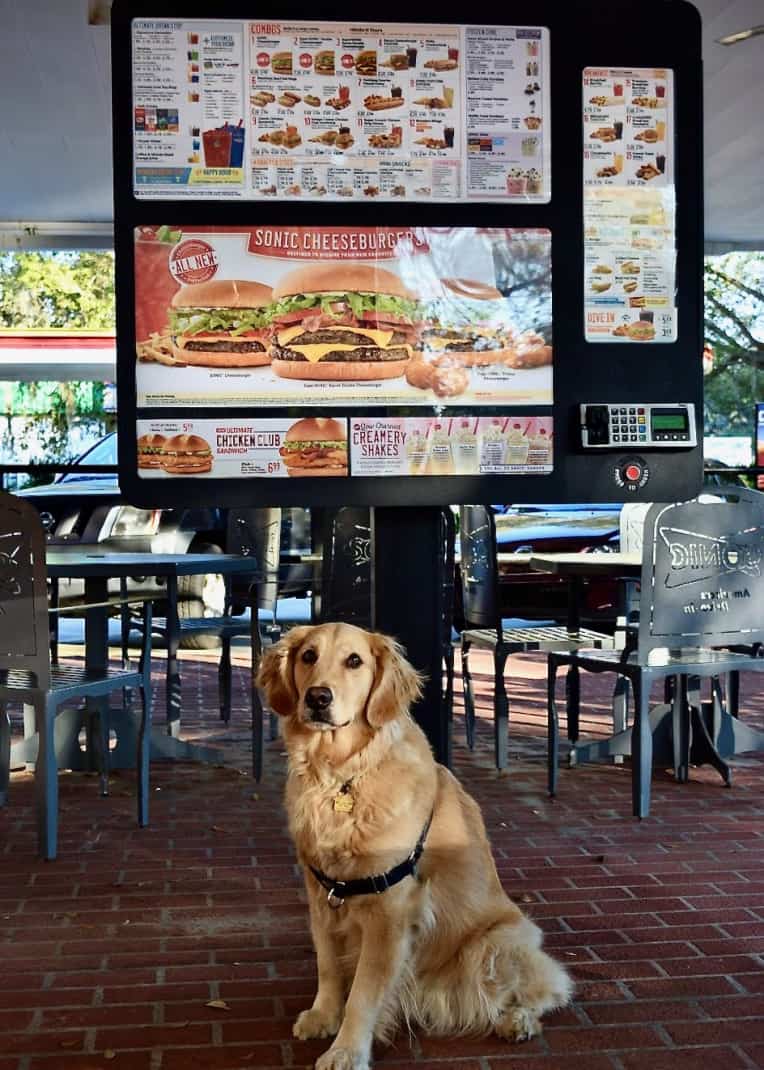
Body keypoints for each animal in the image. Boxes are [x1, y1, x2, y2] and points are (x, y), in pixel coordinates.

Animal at [257, 624, 573, 1065]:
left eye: (354, 661)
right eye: (308, 656)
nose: (318, 697)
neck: (341, 776)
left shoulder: (389, 911)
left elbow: (363, 994)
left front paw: (347, 1051)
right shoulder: (321, 895)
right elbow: (328, 965)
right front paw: (324, 1015)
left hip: (497, 944)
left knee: (549, 990)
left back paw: (517, 1021)